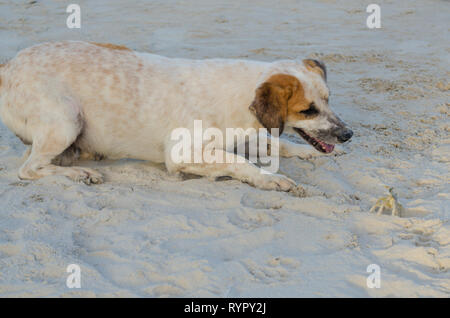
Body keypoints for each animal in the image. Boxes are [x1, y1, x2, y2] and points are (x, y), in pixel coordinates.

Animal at [0, 41, 352, 191]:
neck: (239, 96)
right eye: (307, 110)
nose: (348, 134)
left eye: (329, 99)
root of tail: (8, 65)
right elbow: (239, 162)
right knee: (28, 169)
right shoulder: (184, 152)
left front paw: (310, 153)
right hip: (66, 120)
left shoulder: (241, 137)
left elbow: (279, 145)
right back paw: (78, 174)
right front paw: (270, 179)